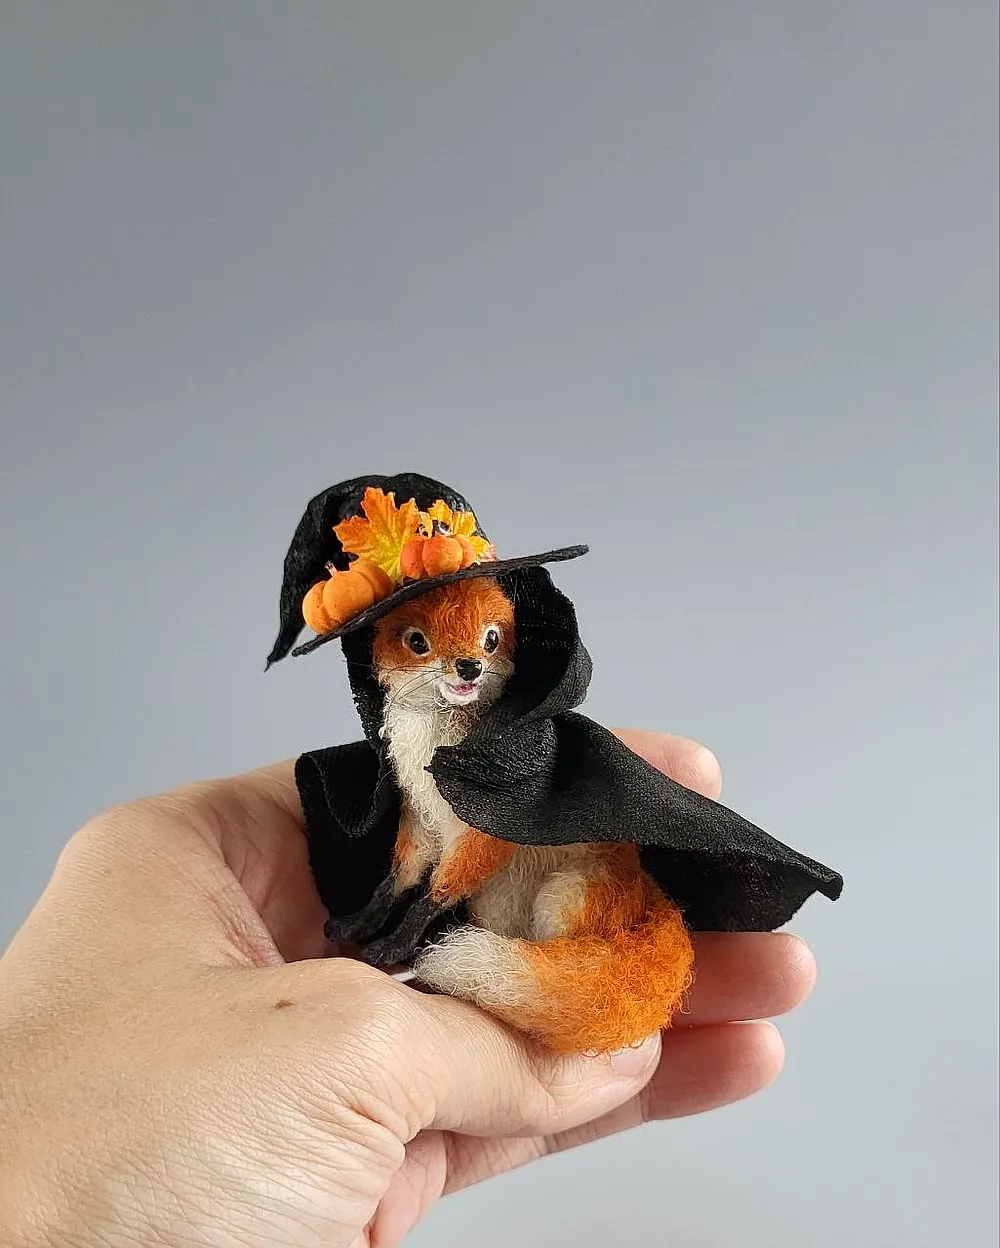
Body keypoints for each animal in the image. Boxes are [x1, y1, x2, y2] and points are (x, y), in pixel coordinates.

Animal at [370, 575, 695, 1054]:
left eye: (490, 638)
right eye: (417, 641)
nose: (469, 667)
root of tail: (646, 895)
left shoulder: (479, 835)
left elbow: (433, 895)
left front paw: (393, 948)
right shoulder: (422, 820)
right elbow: (398, 881)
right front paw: (359, 924)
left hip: (563, 897)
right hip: (499, 903)